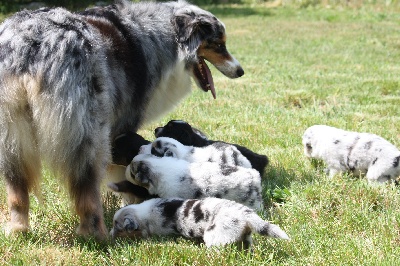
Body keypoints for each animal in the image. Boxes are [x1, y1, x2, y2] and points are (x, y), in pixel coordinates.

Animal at [110, 196, 290, 248]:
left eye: (117, 225)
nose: (110, 235)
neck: (142, 214)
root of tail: (245, 213)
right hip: (245, 234)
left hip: (214, 235)